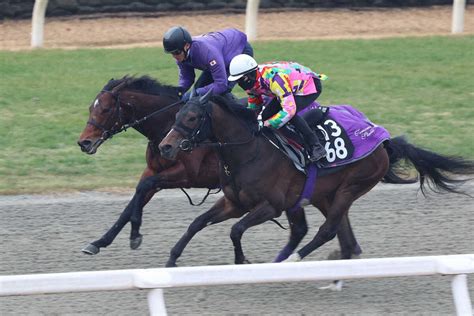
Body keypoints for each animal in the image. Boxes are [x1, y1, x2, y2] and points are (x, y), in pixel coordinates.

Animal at [78, 74, 366, 262]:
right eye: (91, 107)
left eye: (105, 109)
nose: (84, 142)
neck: (167, 125)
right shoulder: (154, 170)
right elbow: (135, 199)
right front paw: (99, 242)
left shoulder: (187, 175)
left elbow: (144, 190)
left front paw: (135, 235)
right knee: (327, 219)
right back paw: (347, 251)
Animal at [159, 92, 474, 266]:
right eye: (177, 114)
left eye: (192, 118)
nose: (166, 147)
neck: (249, 149)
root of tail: (383, 139)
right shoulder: (234, 203)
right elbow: (197, 222)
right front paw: (172, 258)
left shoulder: (271, 206)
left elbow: (236, 230)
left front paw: (241, 260)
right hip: (324, 193)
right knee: (343, 235)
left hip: (352, 186)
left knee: (329, 229)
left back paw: (294, 259)